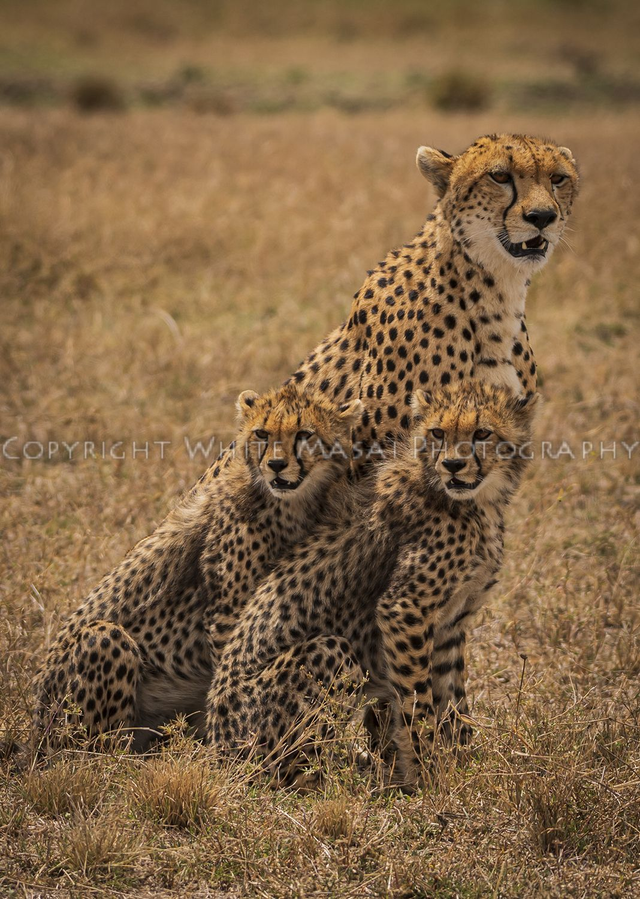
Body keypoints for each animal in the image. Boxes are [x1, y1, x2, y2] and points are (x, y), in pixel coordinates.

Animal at [32, 384, 361, 750]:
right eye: (262, 433)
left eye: (305, 434)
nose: (276, 465)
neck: (288, 505)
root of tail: (35, 730)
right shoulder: (227, 615)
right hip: (100, 650)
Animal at [205, 381, 539, 785]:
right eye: (438, 433)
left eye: (482, 433)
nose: (453, 465)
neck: (476, 502)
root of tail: (215, 744)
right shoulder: (404, 610)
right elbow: (418, 703)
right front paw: (428, 778)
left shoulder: (450, 624)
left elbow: (454, 701)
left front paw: (465, 766)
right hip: (327, 656)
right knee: (290, 773)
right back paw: (352, 780)